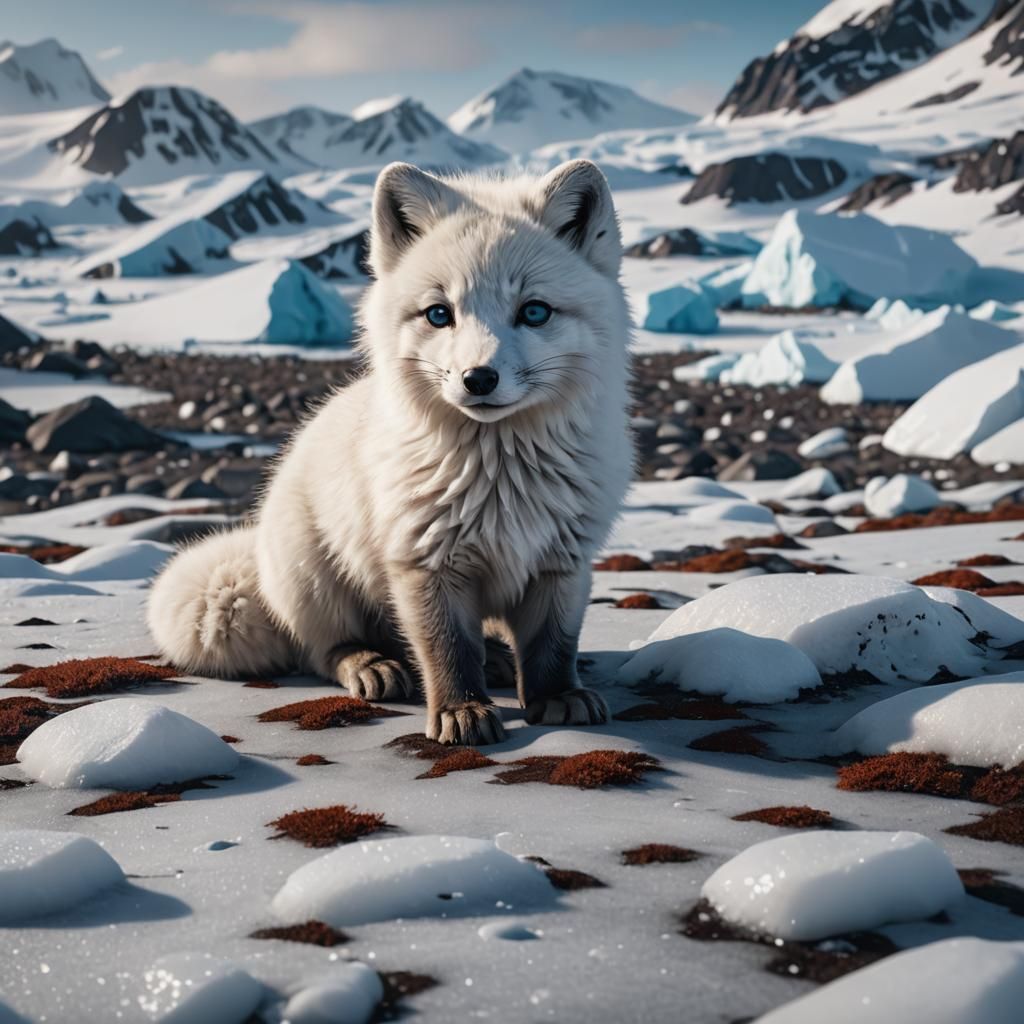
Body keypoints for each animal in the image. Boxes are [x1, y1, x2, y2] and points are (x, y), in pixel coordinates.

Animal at [147, 158, 634, 746]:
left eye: (535, 312)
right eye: (439, 314)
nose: (478, 378)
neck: (502, 477)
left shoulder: (564, 562)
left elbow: (553, 646)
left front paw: (557, 696)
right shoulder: (423, 562)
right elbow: (447, 648)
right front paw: (460, 710)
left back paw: (495, 660)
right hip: (317, 581)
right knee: (327, 651)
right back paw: (372, 666)